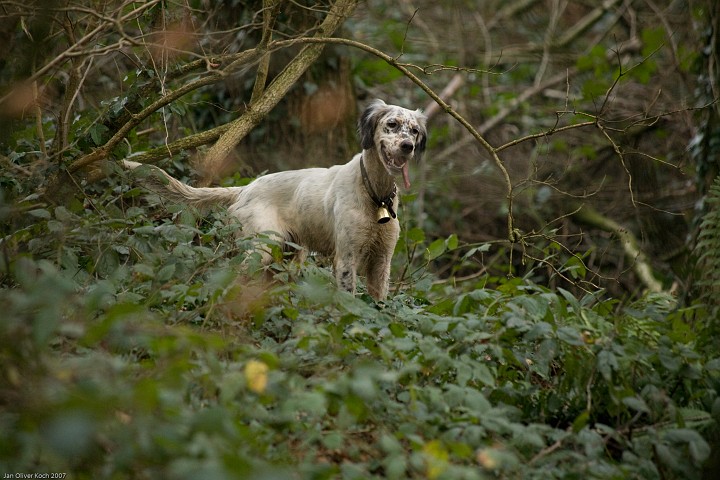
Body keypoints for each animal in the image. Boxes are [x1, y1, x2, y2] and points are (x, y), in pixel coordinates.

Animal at [124, 99, 428, 298]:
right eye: (392, 124)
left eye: (414, 130)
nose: (408, 146)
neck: (374, 194)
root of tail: (244, 189)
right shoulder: (346, 258)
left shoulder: (382, 261)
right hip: (261, 249)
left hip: (288, 257)